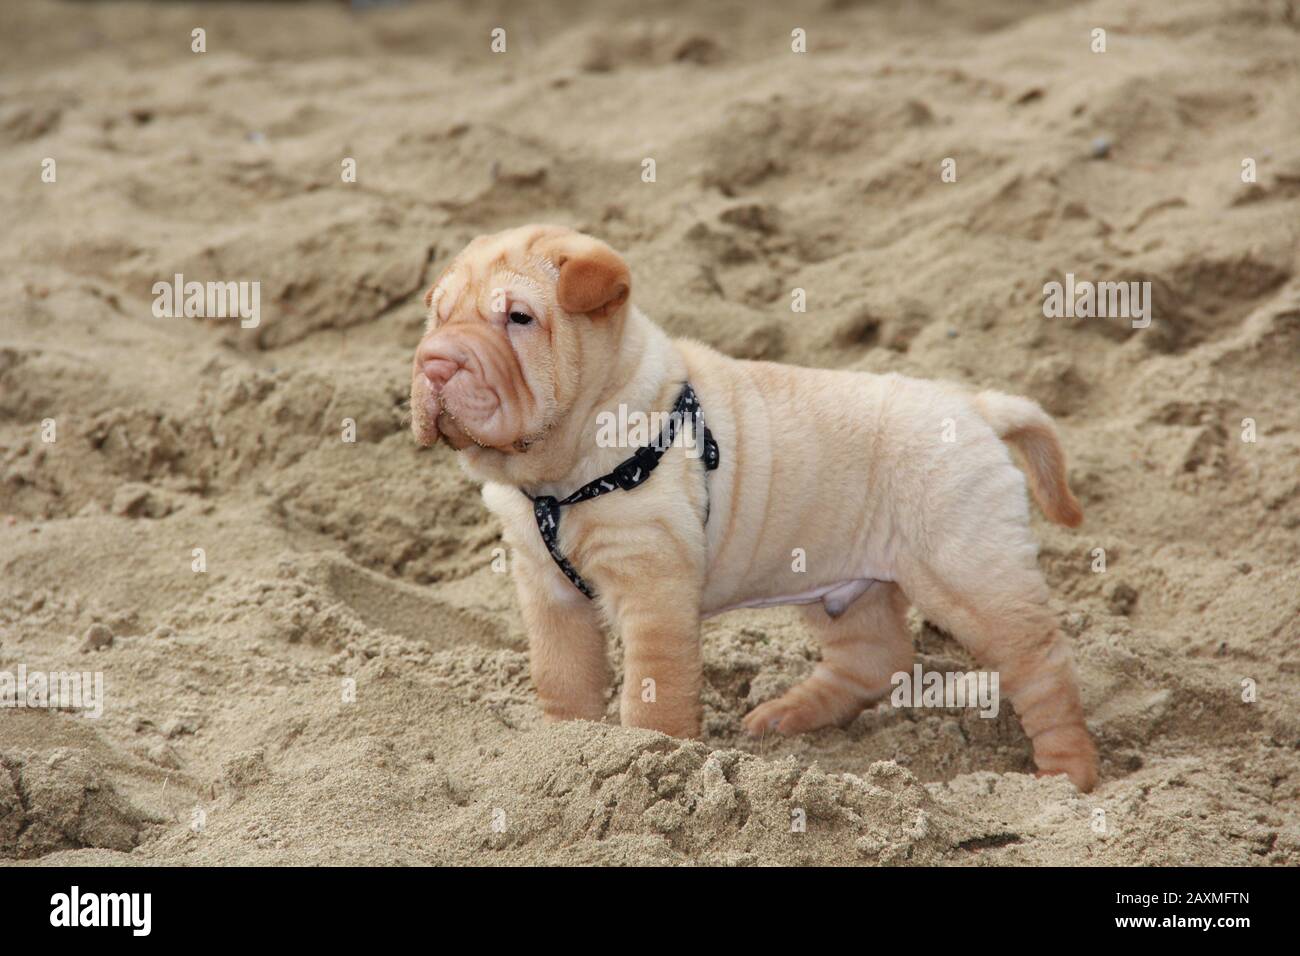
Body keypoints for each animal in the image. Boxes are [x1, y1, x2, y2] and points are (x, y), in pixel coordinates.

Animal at [413, 223, 1097, 790]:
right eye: (438, 317)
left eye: (519, 318)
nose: (434, 363)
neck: (557, 478)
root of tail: (976, 407)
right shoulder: (546, 589)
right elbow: (562, 676)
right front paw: (560, 750)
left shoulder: (652, 586)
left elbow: (651, 692)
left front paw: (647, 759)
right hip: (843, 585)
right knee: (877, 659)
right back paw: (786, 714)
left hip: (969, 571)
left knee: (1042, 663)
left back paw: (1068, 773)